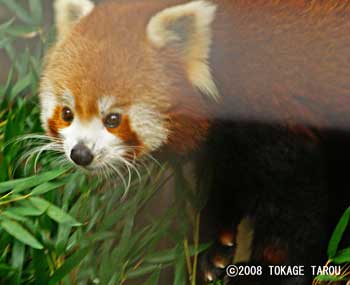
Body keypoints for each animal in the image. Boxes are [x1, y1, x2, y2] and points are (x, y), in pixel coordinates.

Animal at [39, 0, 350, 284]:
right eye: (67, 113)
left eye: (113, 119)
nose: (80, 154)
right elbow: (225, 182)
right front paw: (214, 247)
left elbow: (293, 200)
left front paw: (270, 269)